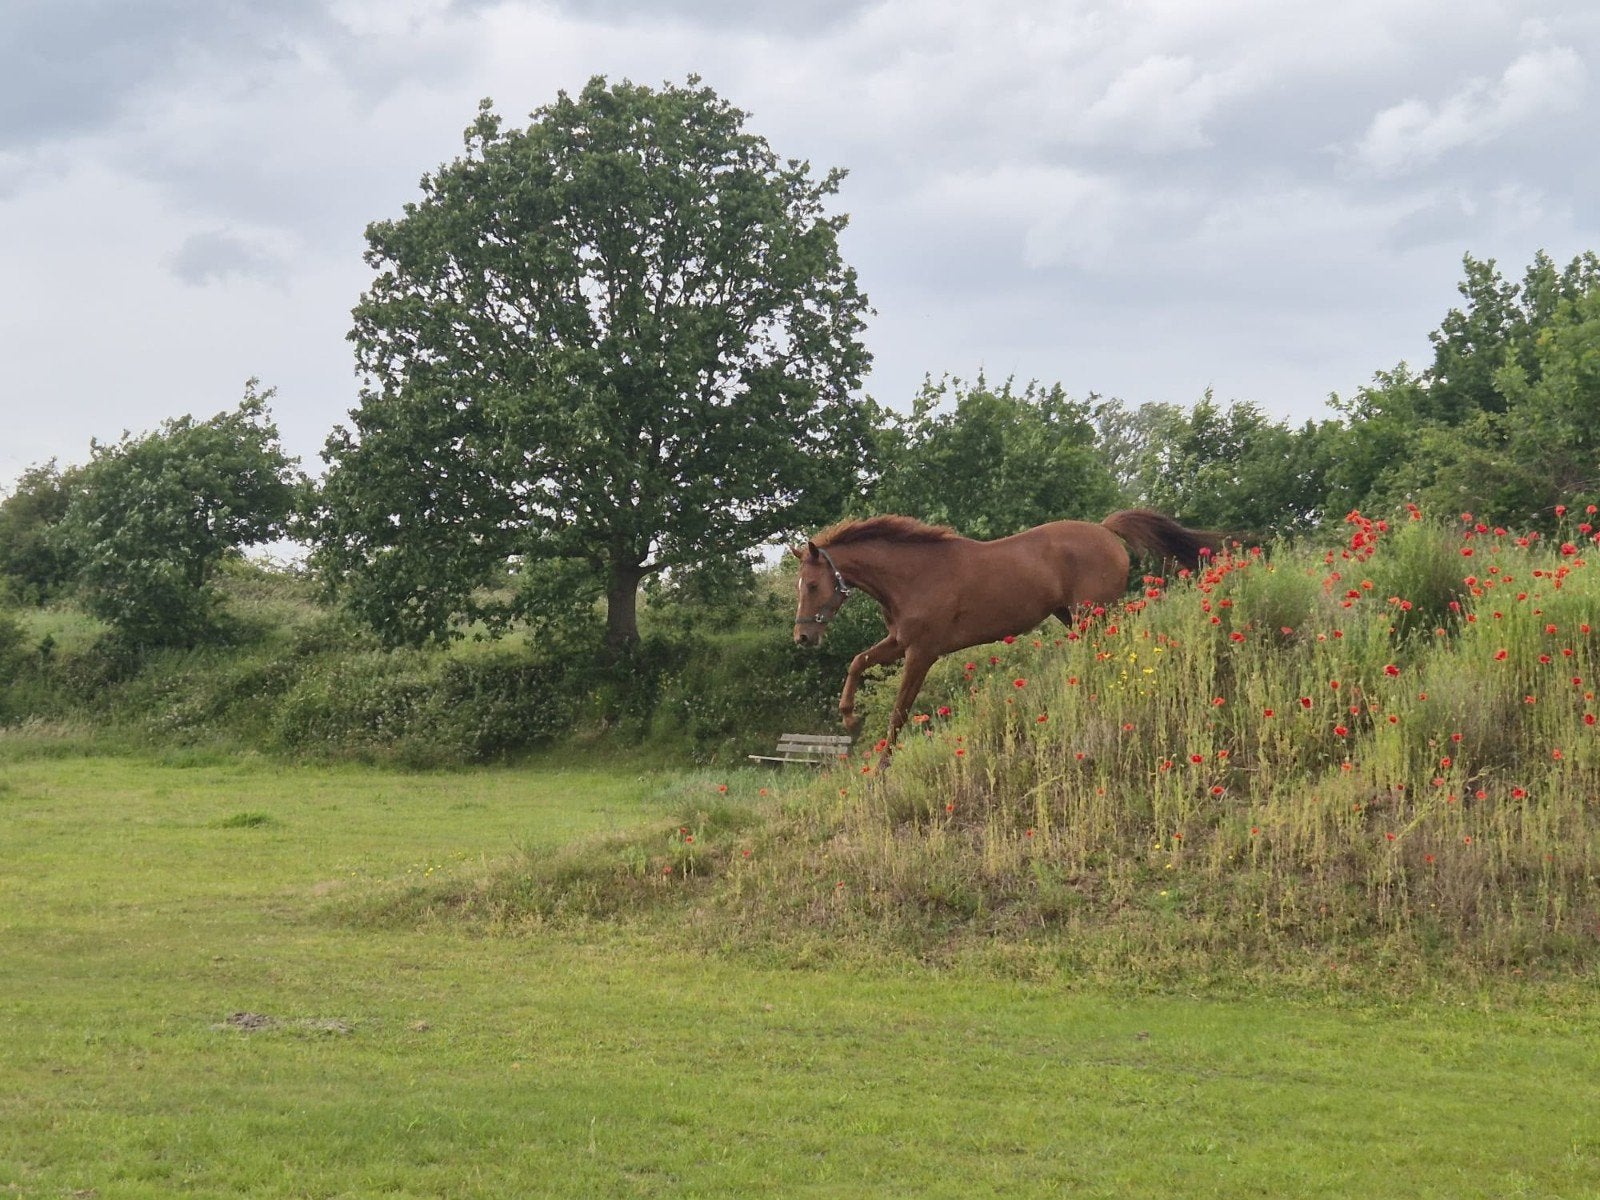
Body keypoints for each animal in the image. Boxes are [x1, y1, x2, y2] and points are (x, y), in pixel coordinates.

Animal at [791, 510, 1225, 763]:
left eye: (811, 585)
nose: (803, 638)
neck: (913, 575)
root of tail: (1104, 531)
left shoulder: (922, 651)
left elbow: (899, 709)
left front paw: (882, 764)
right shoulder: (899, 642)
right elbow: (858, 662)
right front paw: (850, 719)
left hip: (1093, 613)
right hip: (1075, 616)